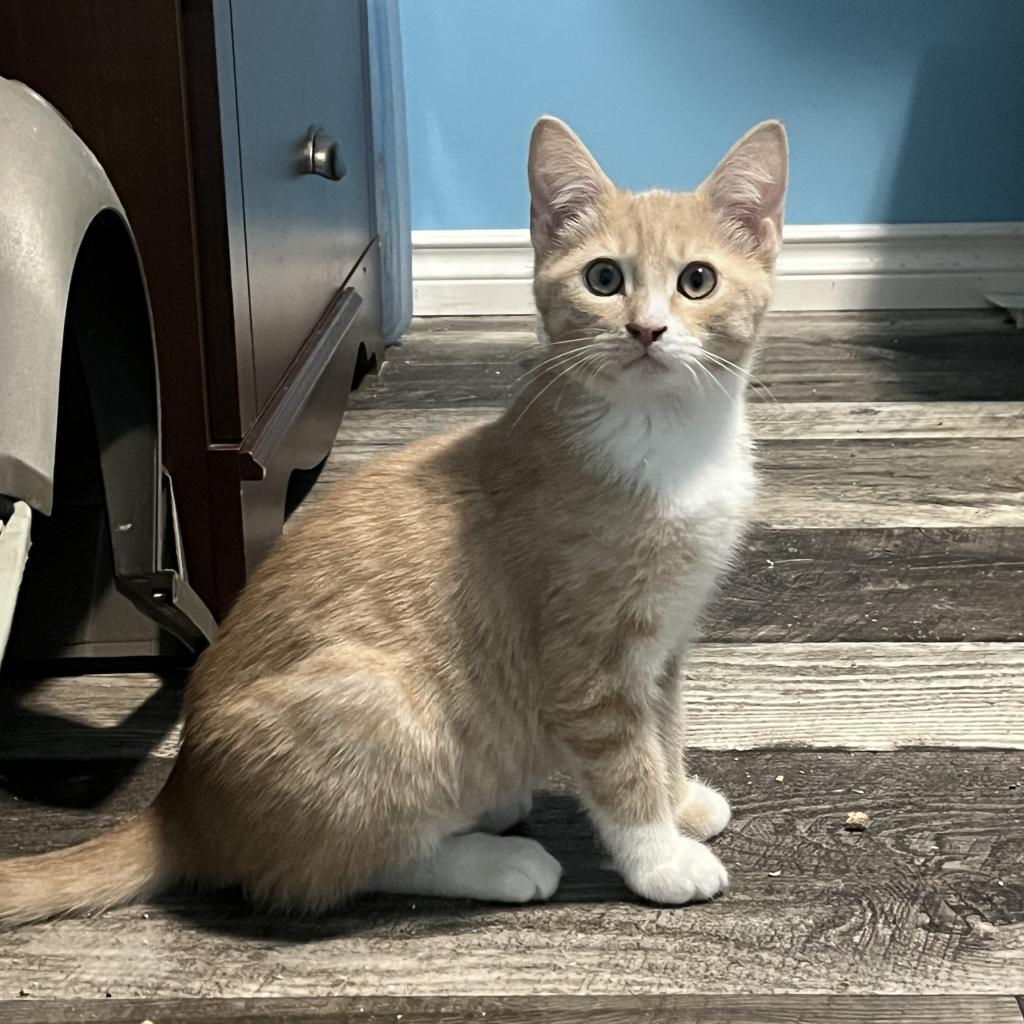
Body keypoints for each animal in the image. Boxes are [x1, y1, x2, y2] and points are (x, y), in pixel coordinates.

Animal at [0, 116, 786, 925]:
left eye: (697, 280)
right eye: (604, 279)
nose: (646, 330)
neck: (668, 438)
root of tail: (180, 804)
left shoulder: (664, 645)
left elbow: (665, 730)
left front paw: (680, 799)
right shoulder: (589, 662)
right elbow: (623, 764)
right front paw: (659, 857)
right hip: (382, 705)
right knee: (326, 871)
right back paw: (496, 860)